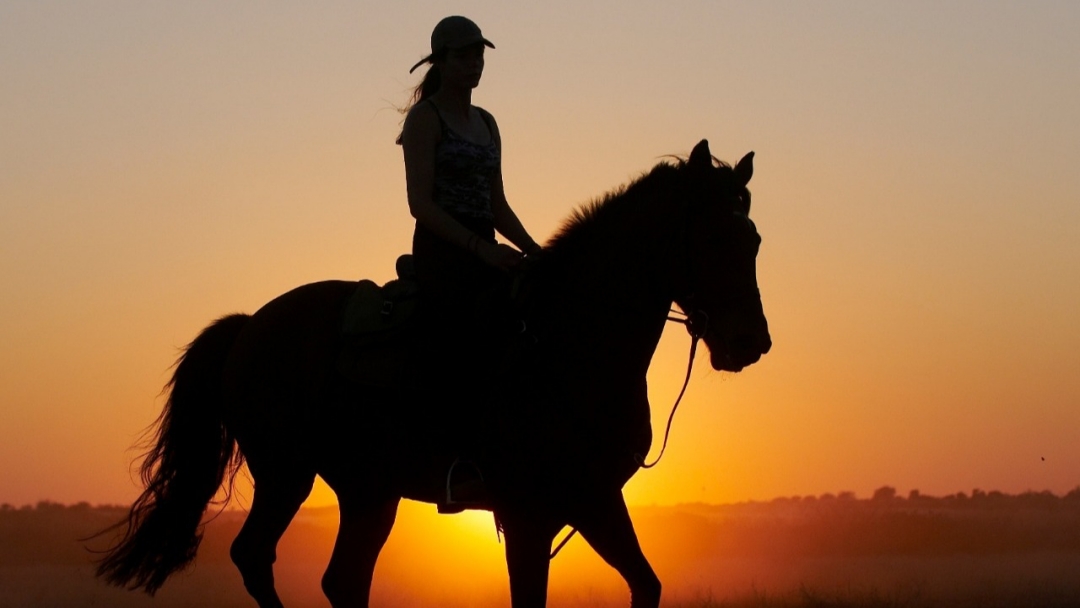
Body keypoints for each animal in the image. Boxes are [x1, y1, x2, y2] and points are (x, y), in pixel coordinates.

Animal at [95, 140, 768, 608]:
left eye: (755, 239)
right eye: (712, 237)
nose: (751, 342)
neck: (569, 347)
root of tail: (250, 325)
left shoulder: (595, 498)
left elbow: (646, 585)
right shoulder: (528, 514)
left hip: (368, 489)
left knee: (342, 580)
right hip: (286, 474)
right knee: (255, 556)